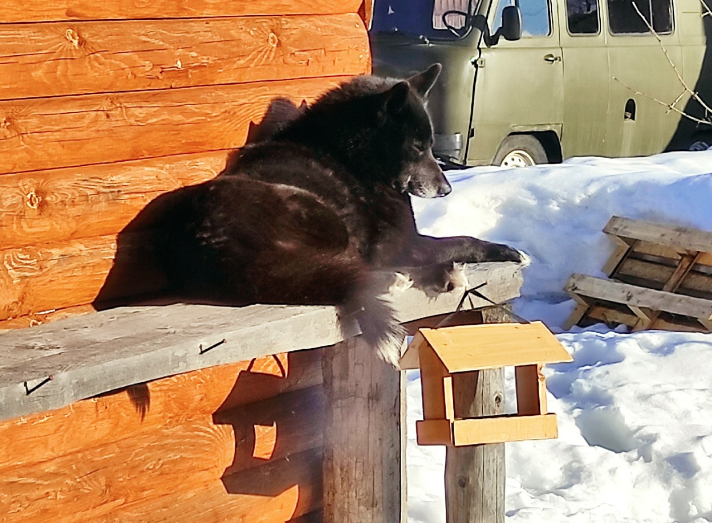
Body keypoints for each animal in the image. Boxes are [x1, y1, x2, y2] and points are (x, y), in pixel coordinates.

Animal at [160, 63, 516, 362]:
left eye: (430, 145)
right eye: (418, 146)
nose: (447, 189)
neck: (353, 155)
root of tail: (212, 248)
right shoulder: (400, 243)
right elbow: (461, 240)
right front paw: (508, 251)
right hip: (325, 219)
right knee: (351, 269)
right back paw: (419, 276)